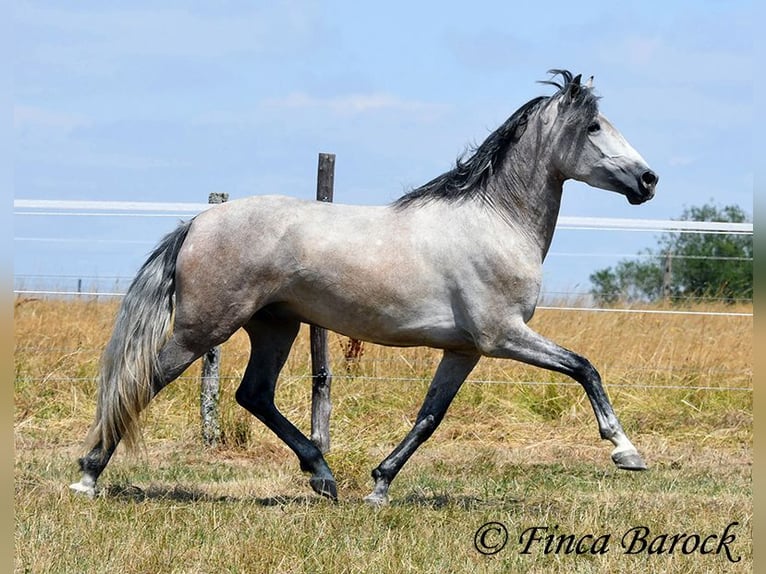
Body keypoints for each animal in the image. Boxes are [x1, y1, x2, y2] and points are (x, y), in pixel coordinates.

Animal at [70, 70, 658, 505]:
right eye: (594, 126)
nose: (648, 180)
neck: (495, 221)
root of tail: (198, 222)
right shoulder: (503, 336)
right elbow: (585, 368)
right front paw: (626, 452)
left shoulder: (465, 350)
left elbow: (429, 417)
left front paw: (379, 485)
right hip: (203, 328)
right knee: (143, 382)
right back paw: (88, 475)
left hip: (275, 326)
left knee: (253, 394)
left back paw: (324, 477)